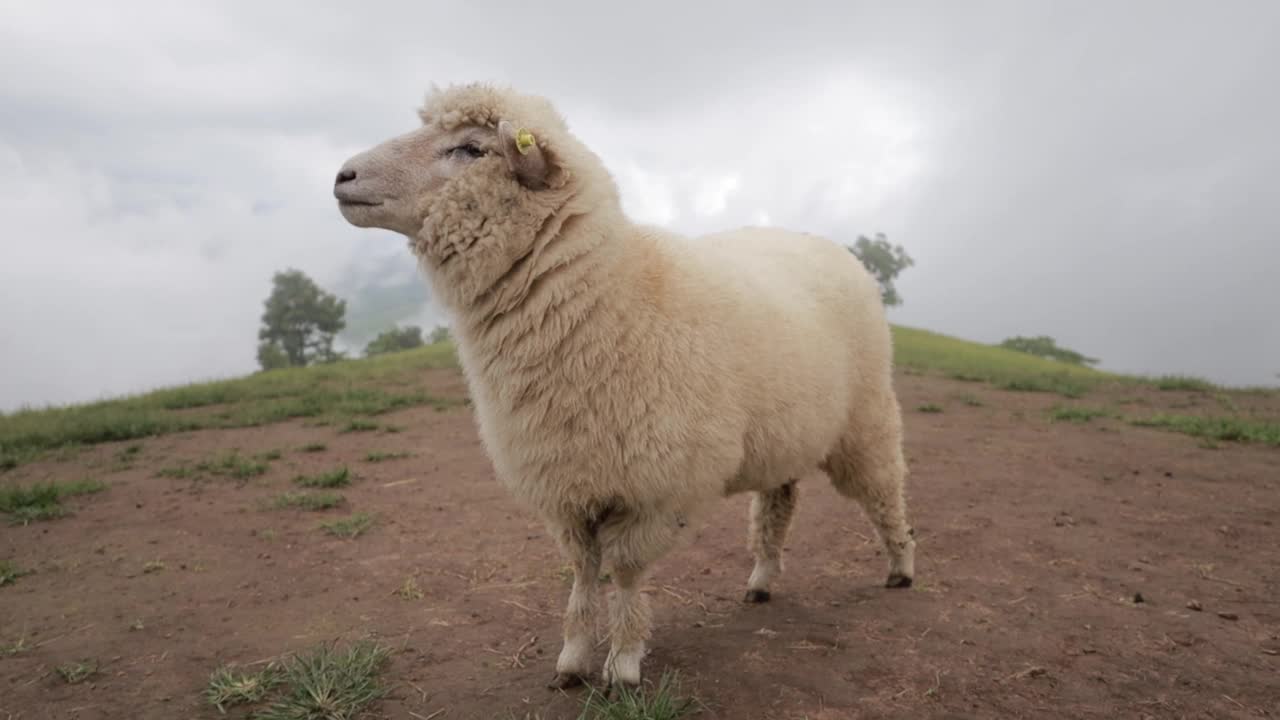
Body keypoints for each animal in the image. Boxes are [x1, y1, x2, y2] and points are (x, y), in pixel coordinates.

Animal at [335, 82, 916, 691]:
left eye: (471, 149)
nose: (344, 176)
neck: (612, 296)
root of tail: (827, 245)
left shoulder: (654, 486)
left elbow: (627, 573)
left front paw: (624, 663)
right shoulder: (569, 482)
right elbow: (583, 574)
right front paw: (572, 658)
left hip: (867, 417)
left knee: (884, 491)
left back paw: (901, 567)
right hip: (788, 430)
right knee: (779, 502)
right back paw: (761, 579)